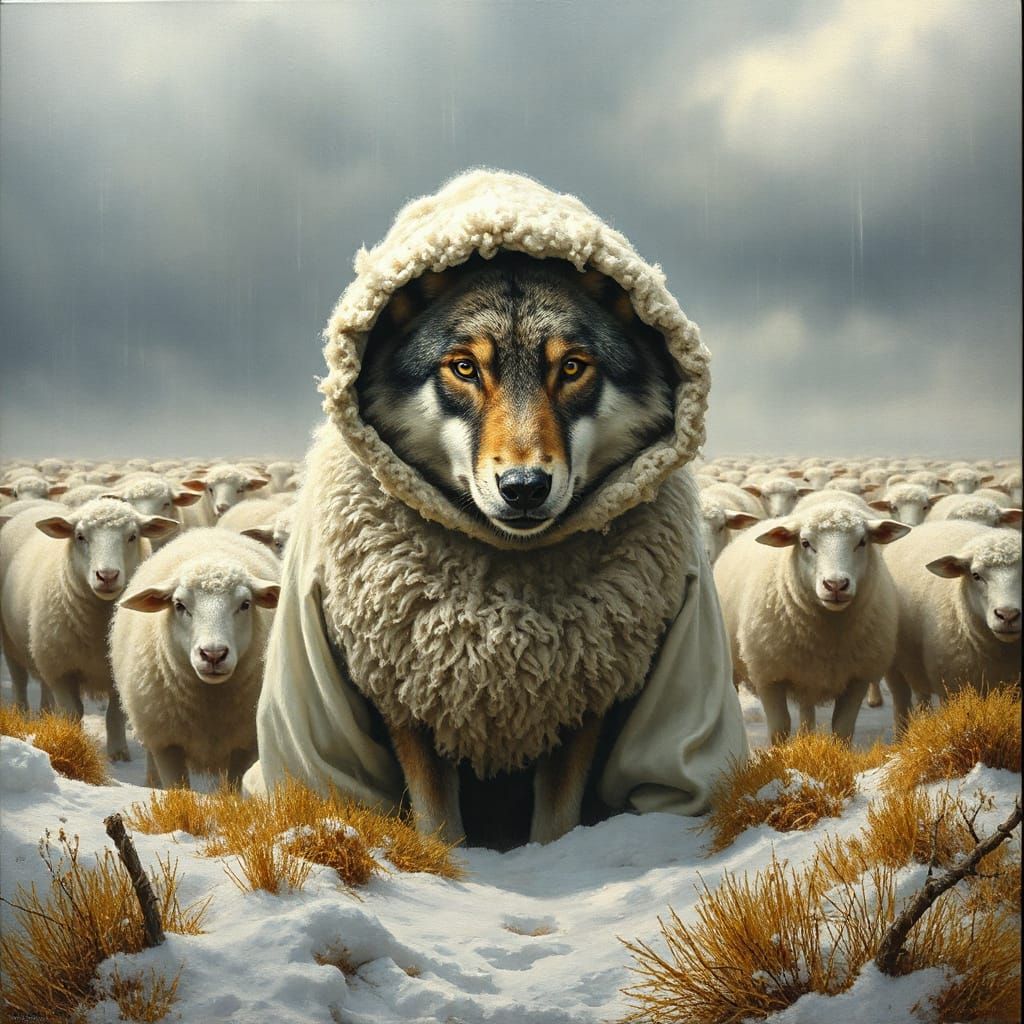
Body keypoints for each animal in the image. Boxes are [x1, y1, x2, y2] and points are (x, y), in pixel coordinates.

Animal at [0, 499, 178, 757]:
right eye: (80, 536)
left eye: (132, 536)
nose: (107, 576)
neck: (98, 626)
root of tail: (36, 503)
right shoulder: (62, 670)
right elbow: (73, 712)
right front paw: (72, 741)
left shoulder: (115, 672)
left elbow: (115, 714)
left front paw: (118, 752)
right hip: (11, 641)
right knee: (19, 680)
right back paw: (22, 714)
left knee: (43, 684)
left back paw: (45, 713)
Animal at [110, 529, 280, 788]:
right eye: (179, 605)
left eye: (245, 604)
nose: (213, 654)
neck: (209, 702)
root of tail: (208, 531)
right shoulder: (167, 743)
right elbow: (178, 789)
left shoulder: (245, 744)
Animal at [713, 497, 909, 744]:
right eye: (805, 543)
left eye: (862, 541)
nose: (836, 585)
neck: (828, 633)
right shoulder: (769, 676)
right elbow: (780, 729)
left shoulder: (857, 678)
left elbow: (842, 730)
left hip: (809, 674)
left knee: (807, 709)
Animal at [883, 522, 1021, 731]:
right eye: (975, 575)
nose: (1008, 615)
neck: (1005, 655)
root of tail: (924, 525)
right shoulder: (953, 690)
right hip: (893, 666)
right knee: (901, 702)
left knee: (922, 695)